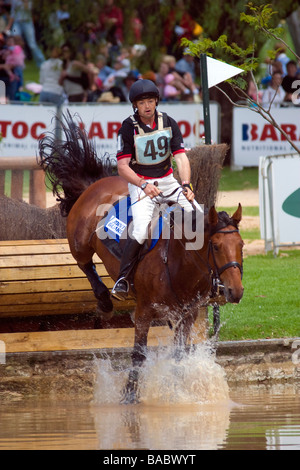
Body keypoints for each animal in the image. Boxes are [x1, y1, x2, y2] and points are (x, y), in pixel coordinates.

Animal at [38, 113, 244, 404]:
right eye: (215, 246)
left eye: (241, 245)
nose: (236, 291)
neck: (179, 265)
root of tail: (95, 184)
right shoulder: (145, 312)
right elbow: (138, 354)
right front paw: (129, 395)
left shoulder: (188, 314)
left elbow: (179, 356)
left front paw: (177, 391)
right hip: (79, 243)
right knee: (85, 264)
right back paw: (105, 300)